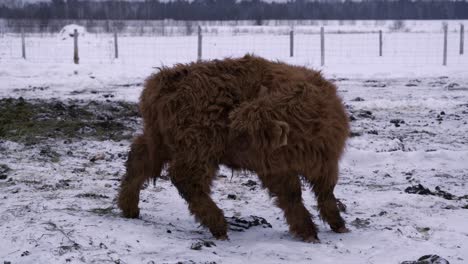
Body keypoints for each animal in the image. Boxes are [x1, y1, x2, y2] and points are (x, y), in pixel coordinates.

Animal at [119, 54, 350, 242]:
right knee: (186, 179)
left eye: (243, 132)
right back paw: (219, 226)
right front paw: (311, 232)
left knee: (138, 162)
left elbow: (322, 194)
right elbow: (295, 196)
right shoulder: (277, 169)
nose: (232, 143)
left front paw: (336, 225)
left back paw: (128, 208)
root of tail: (162, 81)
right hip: (197, 146)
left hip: (159, 140)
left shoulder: (323, 164)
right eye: (234, 125)